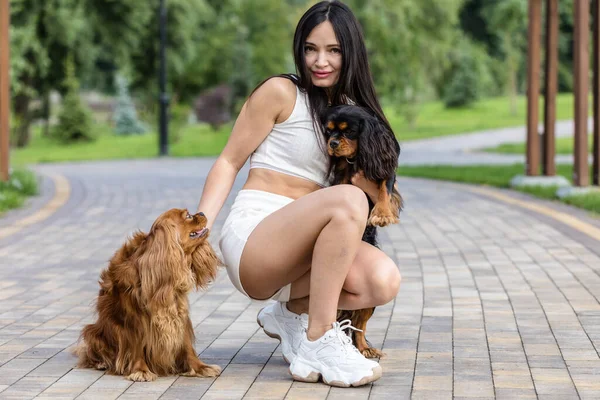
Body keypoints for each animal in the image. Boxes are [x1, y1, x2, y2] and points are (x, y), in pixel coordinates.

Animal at [76, 209, 221, 382]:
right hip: (93, 332)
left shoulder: (178, 312)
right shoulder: (134, 320)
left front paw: (200, 367)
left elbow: (186, 344)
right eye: (187, 216)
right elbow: (137, 345)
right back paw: (101, 363)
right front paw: (141, 370)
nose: (202, 213)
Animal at [322, 104, 400, 358]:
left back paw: (365, 349)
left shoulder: (385, 169)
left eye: (349, 131)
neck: (356, 159)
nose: (333, 143)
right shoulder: (341, 178)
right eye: (329, 131)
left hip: (369, 302)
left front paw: (383, 213)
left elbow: (385, 188)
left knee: (359, 326)